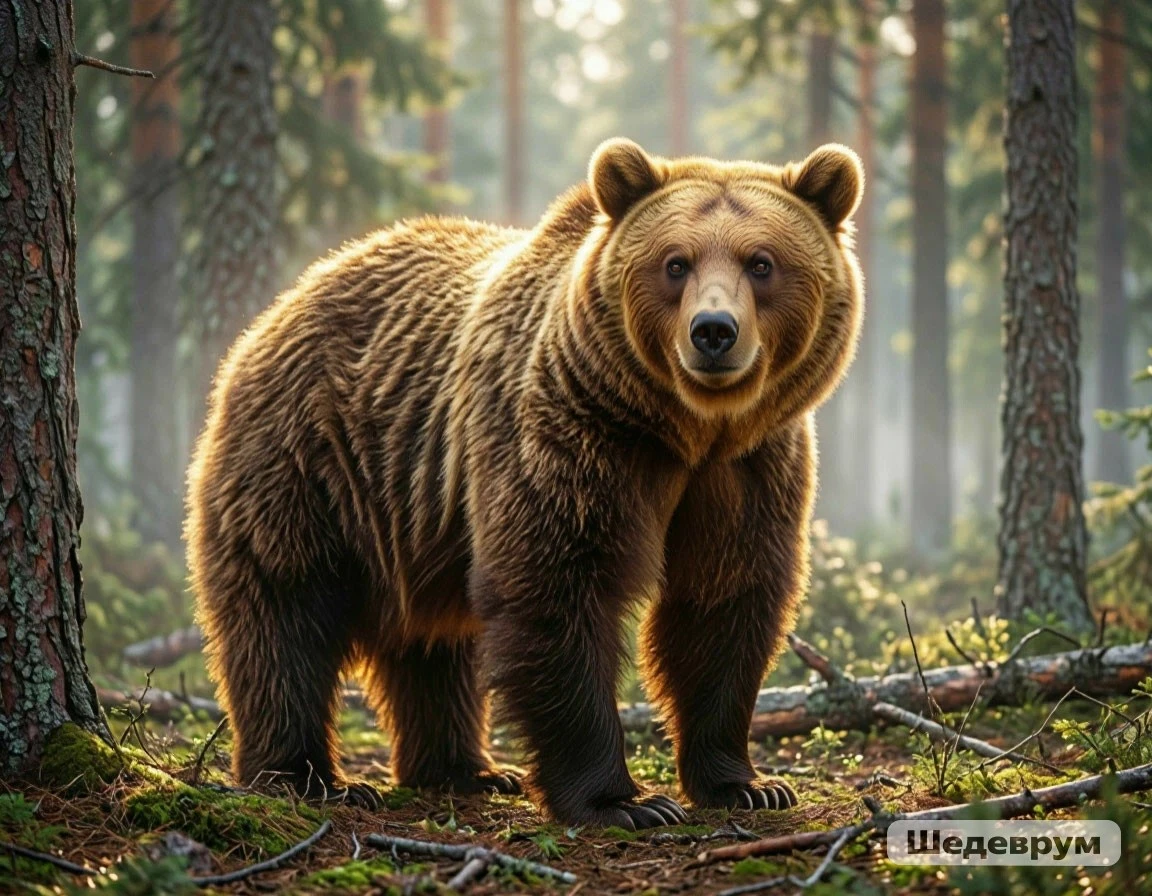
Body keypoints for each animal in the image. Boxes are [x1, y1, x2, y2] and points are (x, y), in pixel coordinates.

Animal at [185, 137, 864, 829]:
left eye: (762, 262)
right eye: (676, 263)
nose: (714, 331)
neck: (684, 429)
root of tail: (284, 302)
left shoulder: (748, 467)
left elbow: (723, 600)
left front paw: (746, 783)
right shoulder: (571, 434)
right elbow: (556, 584)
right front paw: (623, 801)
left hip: (420, 514)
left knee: (435, 642)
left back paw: (466, 770)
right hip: (311, 459)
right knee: (285, 610)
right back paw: (306, 777)